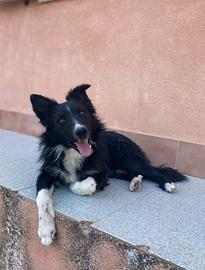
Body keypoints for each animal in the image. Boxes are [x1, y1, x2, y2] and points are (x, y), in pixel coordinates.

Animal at [30, 85, 187, 247]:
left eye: (82, 113)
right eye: (61, 120)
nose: (81, 131)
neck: (72, 153)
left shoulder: (102, 171)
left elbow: (85, 184)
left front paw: (73, 184)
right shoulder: (47, 173)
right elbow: (42, 198)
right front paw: (46, 229)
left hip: (129, 160)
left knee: (153, 171)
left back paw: (167, 184)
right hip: (118, 169)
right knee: (134, 174)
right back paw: (136, 182)